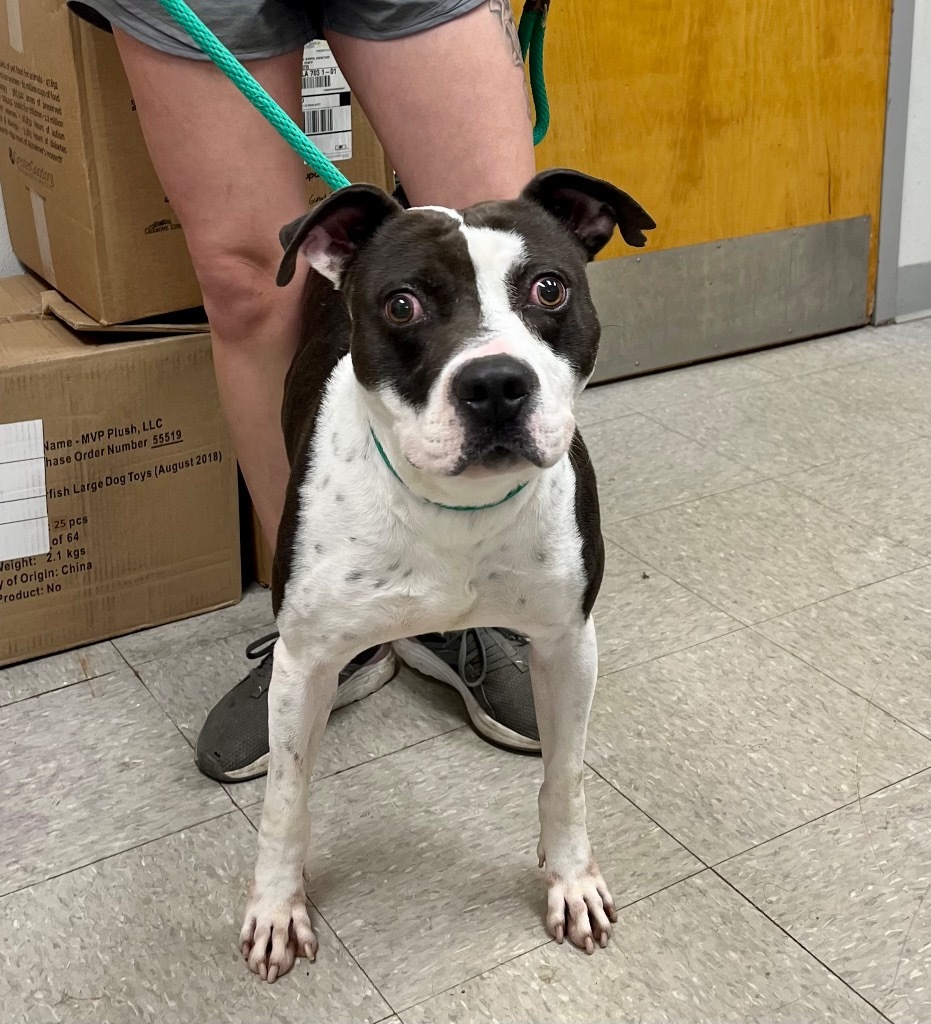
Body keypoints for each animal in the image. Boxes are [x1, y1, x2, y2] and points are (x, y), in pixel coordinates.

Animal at [243, 169, 655, 983]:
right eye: (403, 303)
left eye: (549, 289)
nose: (496, 383)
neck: (454, 507)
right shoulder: (304, 661)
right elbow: (286, 798)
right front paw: (277, 905)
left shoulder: (567, 645)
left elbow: (565, 778)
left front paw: (570, 879)